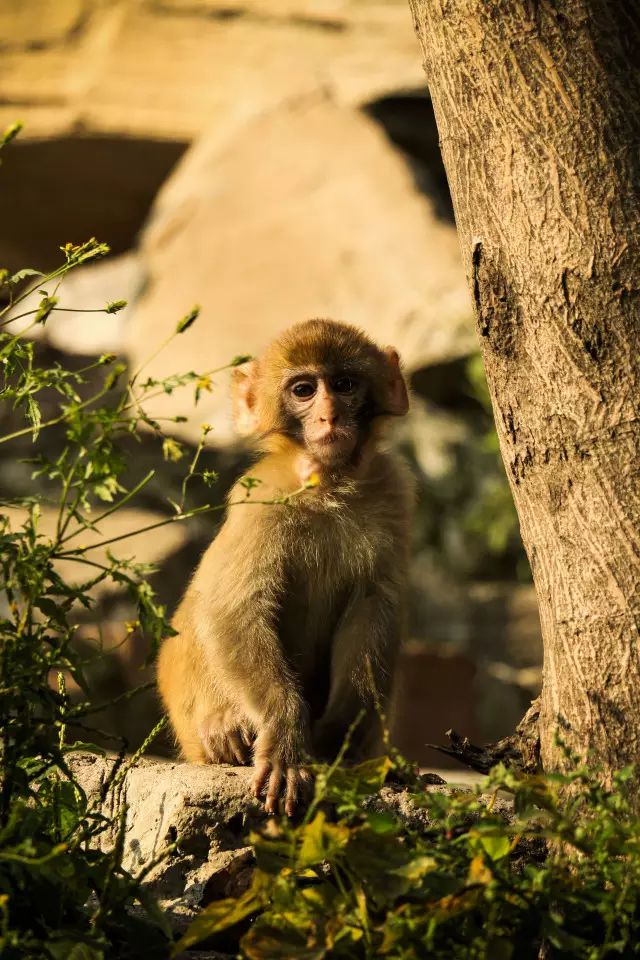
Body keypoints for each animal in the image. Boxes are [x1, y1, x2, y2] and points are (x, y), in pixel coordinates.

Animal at [158, 318, 412, 812]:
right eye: (303, 390)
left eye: (344, 385)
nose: (329, 416)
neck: (329, 484)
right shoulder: (260, 501)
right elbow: (231, 609)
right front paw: (286, 740)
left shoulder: (393, 495)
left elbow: (375, 606)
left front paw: (339, 738)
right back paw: (224, 727)